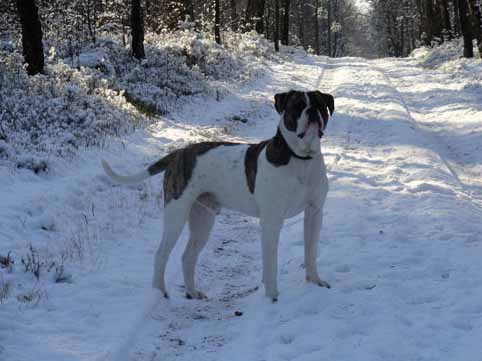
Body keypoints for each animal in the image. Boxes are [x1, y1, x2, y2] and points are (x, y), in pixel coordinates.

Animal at [101, 90, 336, 300]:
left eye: (320, 105)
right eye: (297, 106)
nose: (312, 111)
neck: (300, 159)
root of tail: (178, 153)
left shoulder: (314, 213)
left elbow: (311, 252)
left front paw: (315, 282)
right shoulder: (271, 221)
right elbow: (271, 263)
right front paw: (271, 297)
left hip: (202, 219)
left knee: (188, 256)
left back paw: (192, 293)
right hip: (176, 214)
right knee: (161, 255)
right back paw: (159, 293)